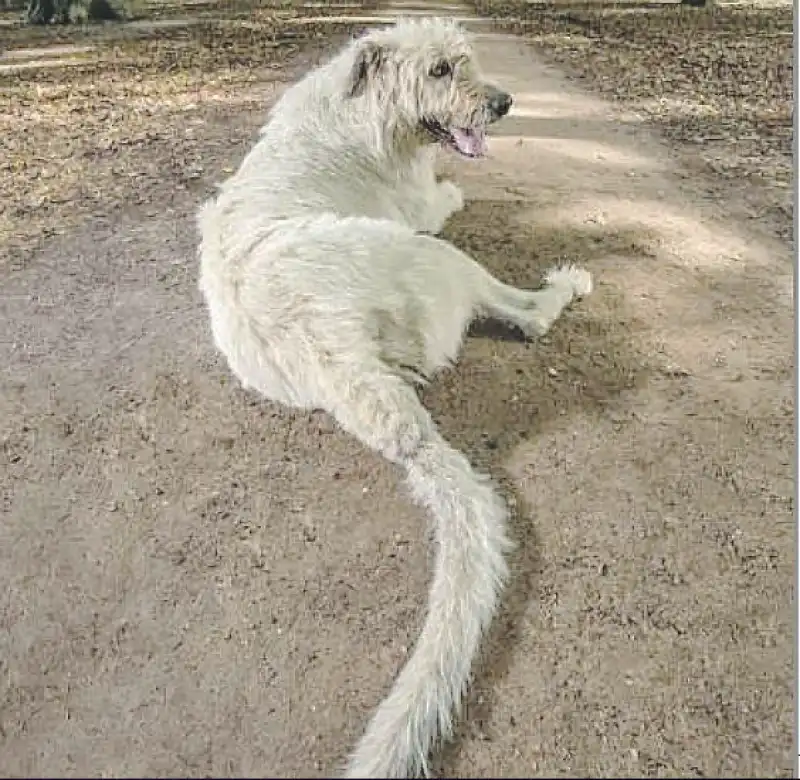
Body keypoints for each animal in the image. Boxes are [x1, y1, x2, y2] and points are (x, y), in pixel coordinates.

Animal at [198, 15, 592, 776]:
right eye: (439, 70)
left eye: (464, 61)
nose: (503, 104)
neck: (368, 114)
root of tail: (338, 358)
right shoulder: (422, 206)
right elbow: (445, 192)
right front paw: (458, 190)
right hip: (438, 256)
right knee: (529, 317)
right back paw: (566, 285)